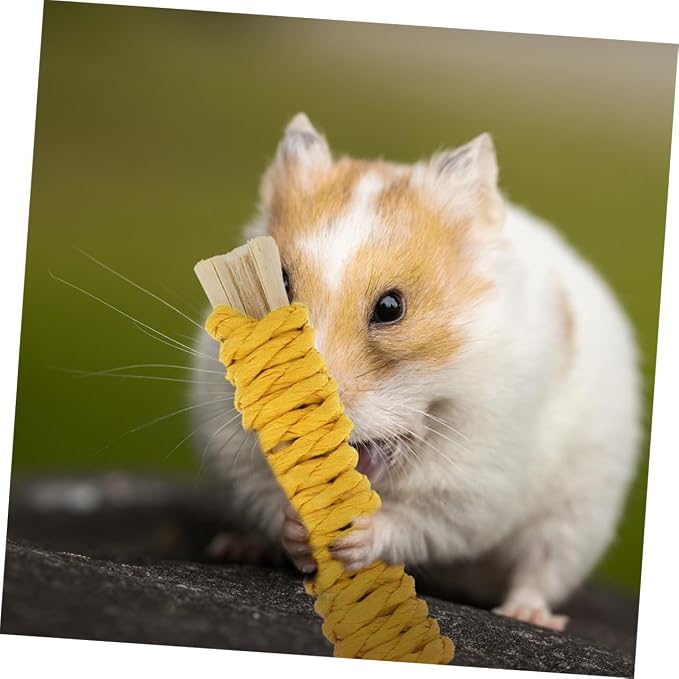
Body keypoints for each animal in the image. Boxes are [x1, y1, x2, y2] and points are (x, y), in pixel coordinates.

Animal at [191, 113, 641, 631]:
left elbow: (418, 520)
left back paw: (528, 615)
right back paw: (235, 547)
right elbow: (269, 494)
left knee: (540, 568)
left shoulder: (474, 486)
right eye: (279, 284)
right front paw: (298, 529)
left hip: (578, 513)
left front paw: (357, 535)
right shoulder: (234, 451)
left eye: (391, 308)